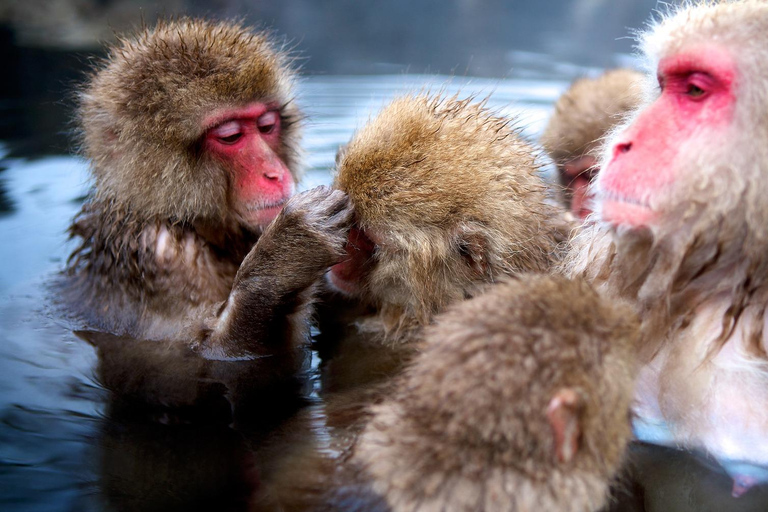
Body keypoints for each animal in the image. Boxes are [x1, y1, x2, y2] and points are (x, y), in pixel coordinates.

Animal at [63, 19, 352, 361]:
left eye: (267, 126)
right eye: (230, 136)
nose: (275, 173)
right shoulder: (160, 258)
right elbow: (212, 353)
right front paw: (287, 255)